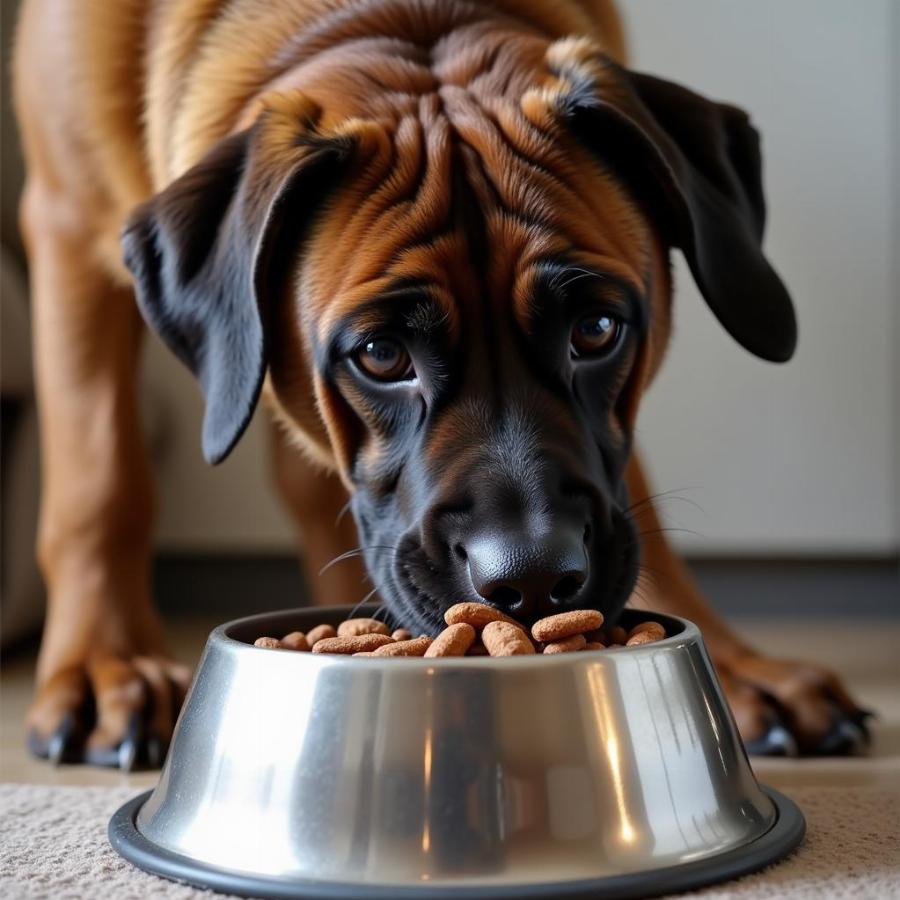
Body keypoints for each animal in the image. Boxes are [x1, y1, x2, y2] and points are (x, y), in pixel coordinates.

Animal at [14, 0, 872, 768]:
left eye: (596, 330)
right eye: (381, 355)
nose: (532, 579)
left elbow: (633, 495)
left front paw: (732, 664)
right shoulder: (64, 224)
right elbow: (102, 477)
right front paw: (106, 664)